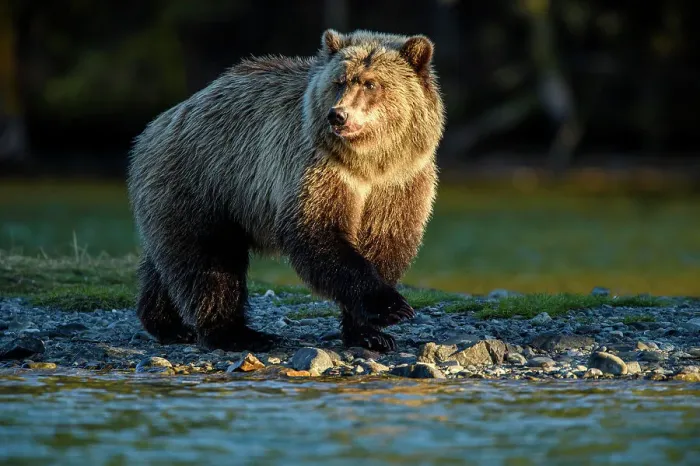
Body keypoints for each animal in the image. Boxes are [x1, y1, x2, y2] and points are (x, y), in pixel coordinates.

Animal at [126, 29, 446, 353]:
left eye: (371, 83)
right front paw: (391, 307)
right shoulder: (317, 168)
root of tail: (157, 124)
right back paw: (237, 333)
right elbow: (317, 232)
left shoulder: (400, 181)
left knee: (170, 261)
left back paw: (167, 323)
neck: (369, 162)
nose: (338, 115)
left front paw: (370, 332)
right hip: (204, 181)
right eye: (339, 81)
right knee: (209, 261)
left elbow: (385, 242)